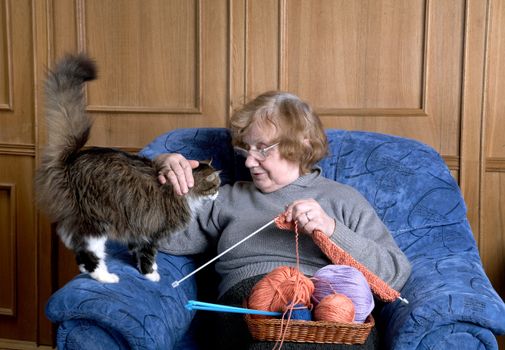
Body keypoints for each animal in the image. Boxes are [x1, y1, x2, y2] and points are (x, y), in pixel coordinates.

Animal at [33, 55, 219, 284]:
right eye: (216, 186)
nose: (218, 194)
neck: (186, 193)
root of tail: (70, 160)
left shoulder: (138, 228)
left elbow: (136, 250)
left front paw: (147, 267)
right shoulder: (152, 232)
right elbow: (147, 254)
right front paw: (150, 274)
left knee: (74, 244)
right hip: (95, 223)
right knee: (88, 252)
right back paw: (106, 277)